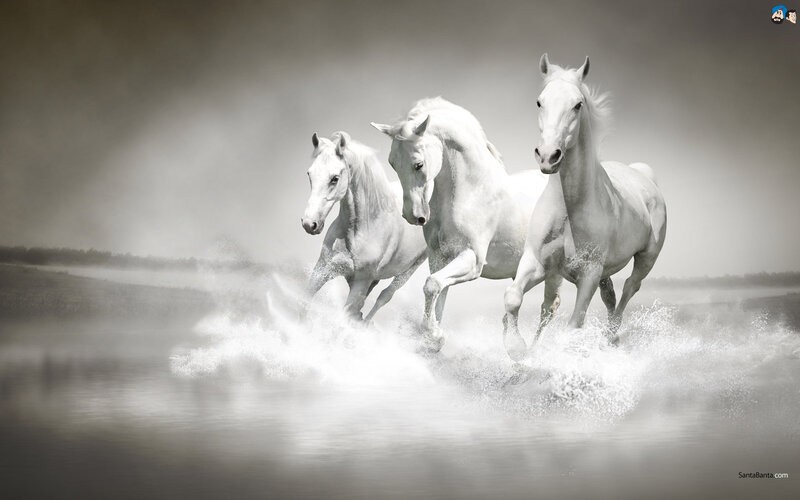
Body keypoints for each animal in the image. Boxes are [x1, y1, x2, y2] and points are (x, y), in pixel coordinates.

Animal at [302, 131, 427, 321]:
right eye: (310, 174)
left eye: (335, 178)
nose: (309, 224)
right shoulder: (322, 269)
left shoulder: (360, 282)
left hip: (409, 269)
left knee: (384, 296)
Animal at [371, 97, 559, 357]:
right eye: (392, 163)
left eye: (418, 164)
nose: (413, 216)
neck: (471, 191)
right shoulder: (439, 258)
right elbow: (437, 292)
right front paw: (433, 339)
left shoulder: (472, 259)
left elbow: (431, 286)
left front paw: (435, 336)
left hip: (554, 272)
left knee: (548, 308)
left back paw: (525, 352)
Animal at [503, 54, 667, 352]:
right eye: (539, 101)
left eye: (577, 105)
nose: (548, 156)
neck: (570, 208)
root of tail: (644, 176)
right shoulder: (537, 262)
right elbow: (514, 298)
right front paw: (517, 349)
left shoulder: (588, 274)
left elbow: (573, 326)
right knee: (608, 296)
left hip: (646, 258)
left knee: (629, 288)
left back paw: (610, 337)